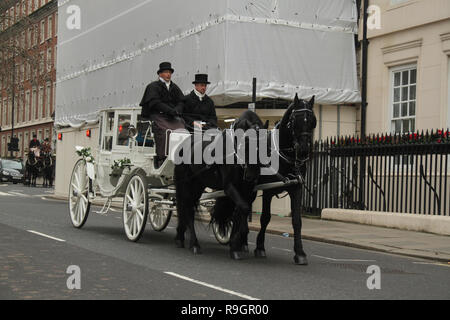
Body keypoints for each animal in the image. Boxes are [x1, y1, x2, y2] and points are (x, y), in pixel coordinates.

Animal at [175, 110, 268, 260]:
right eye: (246, 143)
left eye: (267, 144)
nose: (252, 175)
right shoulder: (229, 187)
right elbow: (243, 208)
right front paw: (236, 244)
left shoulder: (248, 191)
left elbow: (241, 211)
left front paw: (235, 245)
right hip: (186, 184)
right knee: (187, 208)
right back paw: (194, 244)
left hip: (198, 185)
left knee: (186, 207)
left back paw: (180, 237)